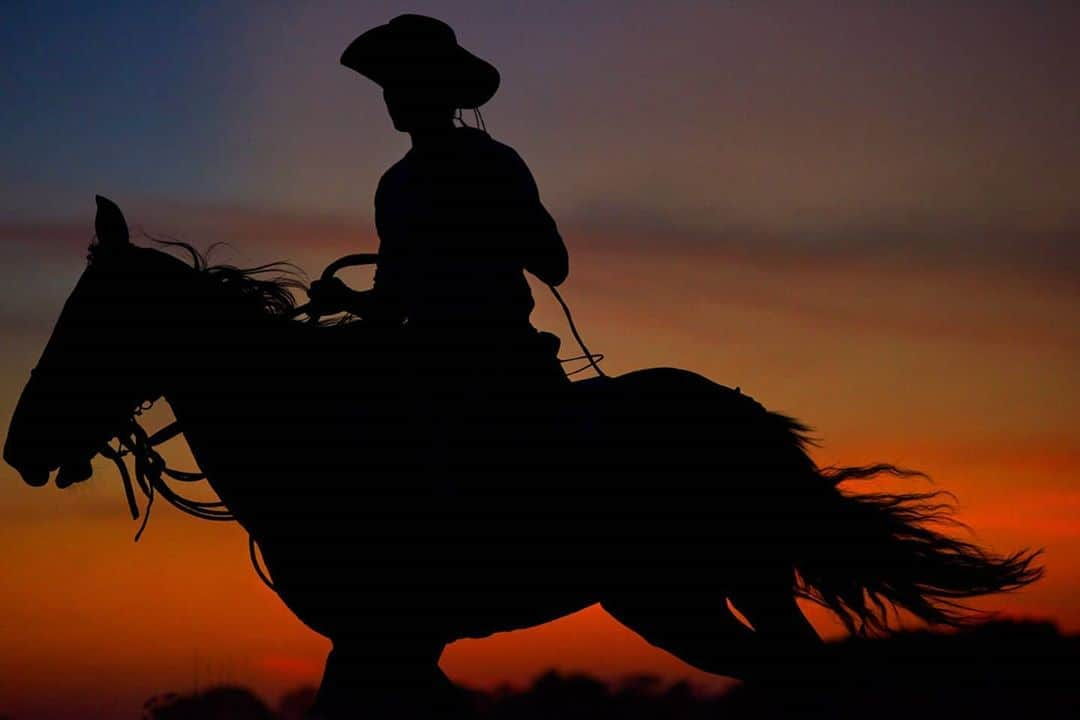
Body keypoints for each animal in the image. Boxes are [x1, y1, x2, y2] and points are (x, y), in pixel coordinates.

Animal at [4, 194, 1041, 716]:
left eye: (87, 322)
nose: (19, 449)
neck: (319, 438)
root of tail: (741, 413)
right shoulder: (384, 643)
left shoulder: (386, 636)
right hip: (730, 586)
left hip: (678, 600)